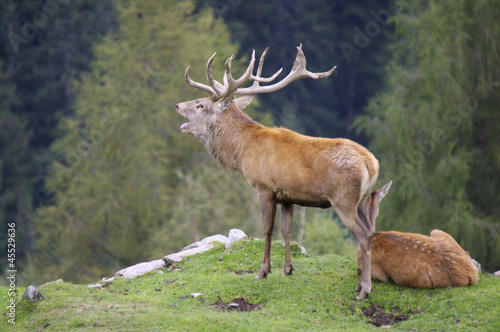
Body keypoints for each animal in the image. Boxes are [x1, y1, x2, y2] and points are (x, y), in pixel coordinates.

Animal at [177, 44, 382, 300]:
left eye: (200, 105)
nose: (177, 106)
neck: (242, 151)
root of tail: (371, 164)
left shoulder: (264, 187)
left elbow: (267, 230)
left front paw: (263, 271)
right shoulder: (288, 195)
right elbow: (286, 231)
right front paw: (288, 269)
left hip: (344, 200)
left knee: (364, 235)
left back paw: (364, 290)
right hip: (364, 200)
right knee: (372, 231)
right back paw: (360, 284)